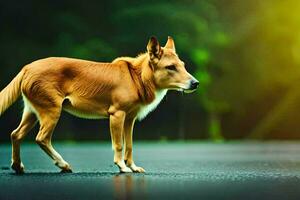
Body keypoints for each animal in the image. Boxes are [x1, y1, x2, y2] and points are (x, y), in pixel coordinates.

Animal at [0, 36, 199, 173]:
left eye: (183, 65)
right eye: (171, 67)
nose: (195, 83)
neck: (137, 78)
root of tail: (27, 67)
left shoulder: (130, 119)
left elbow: (130, 146)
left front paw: (133, 167)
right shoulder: (117, 115)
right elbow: (119, 145)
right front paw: (122, 167)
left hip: (32, 112)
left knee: (15, 134)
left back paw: (17, 166)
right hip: (52, 111)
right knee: (41, 138)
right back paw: (63, 164)